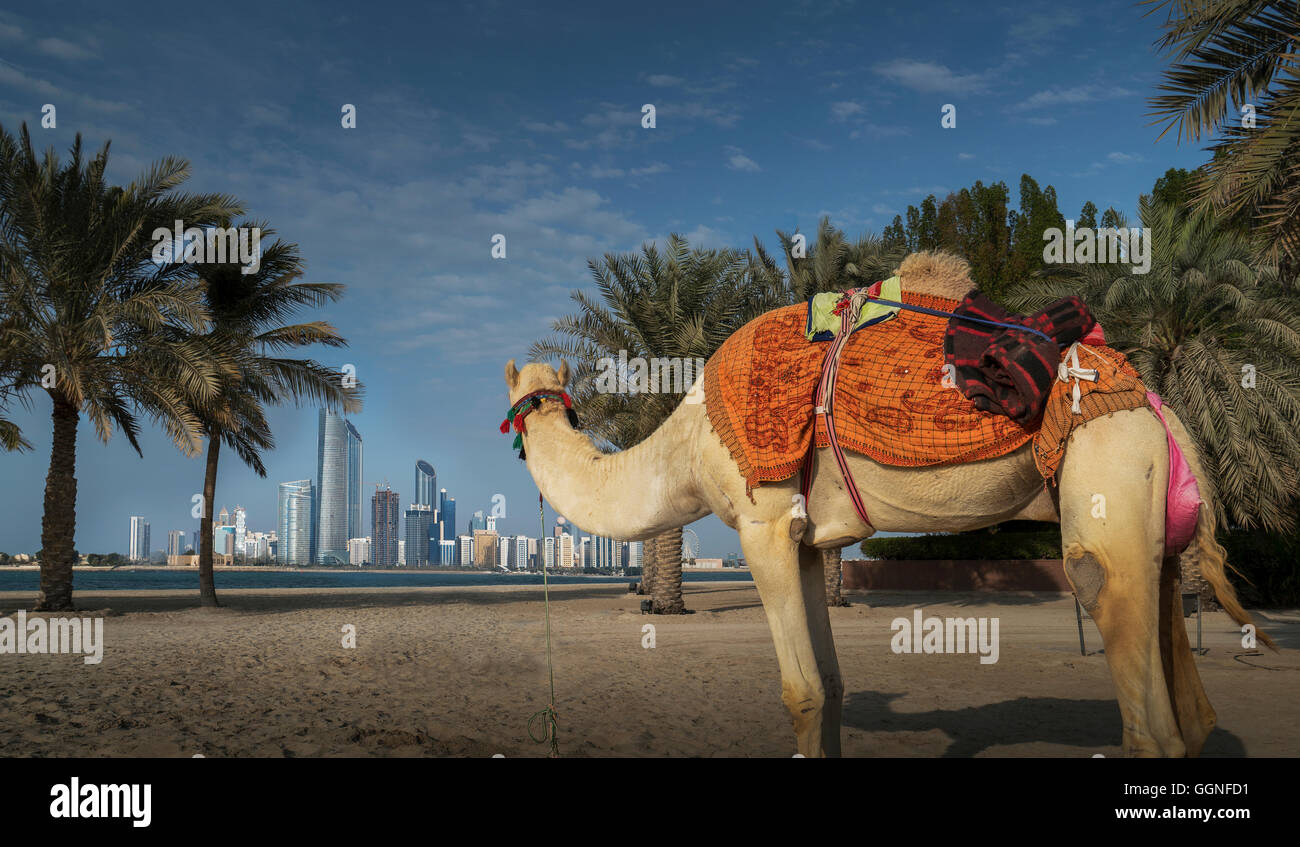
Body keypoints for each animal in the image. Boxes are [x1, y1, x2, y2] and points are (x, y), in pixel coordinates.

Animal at [501, 249, 1263, 753]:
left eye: (533, 404)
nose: (525, 417)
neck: (687, 444)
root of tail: (1158, 405)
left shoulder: (762, 521)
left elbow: (802, 692)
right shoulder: (807, 542)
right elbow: (834, 688)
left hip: (1106, 472)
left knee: (1133, 678)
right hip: (1152, 517)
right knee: (1192, 711)